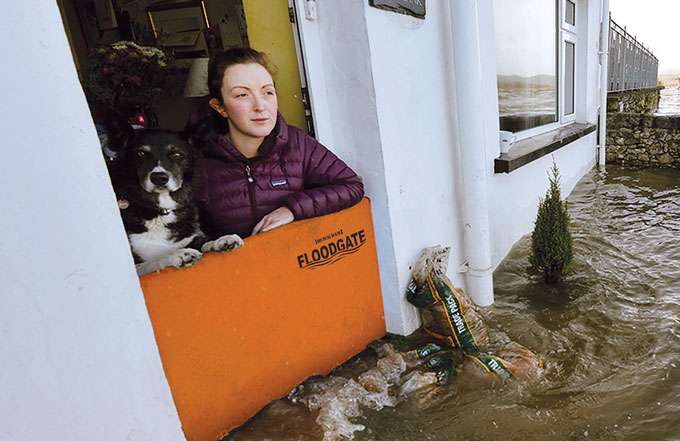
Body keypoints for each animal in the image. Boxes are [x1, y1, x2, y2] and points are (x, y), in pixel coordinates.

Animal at [105, 117, 243, 276]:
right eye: (141, 153)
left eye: (176, 154)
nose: (159, 178)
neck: (161, 212)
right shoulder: (134, 268)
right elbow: (154, 261)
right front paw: (178, 254)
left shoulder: (193, 237)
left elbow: (205, 243)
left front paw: (221, 241)